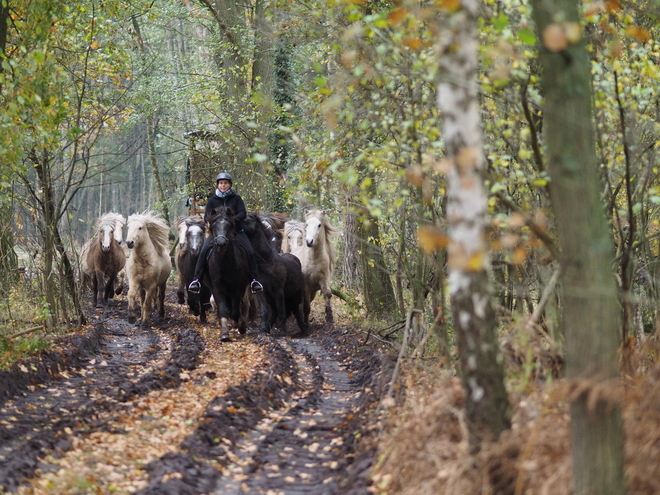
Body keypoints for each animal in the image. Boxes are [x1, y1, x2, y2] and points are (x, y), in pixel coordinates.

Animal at [206, 207, 250, 342]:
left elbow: (235, 310)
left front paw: (240, 326)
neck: (225, 263)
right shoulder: (217, 288)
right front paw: (224, 333)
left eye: (229, 225)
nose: (221, 243)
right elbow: (223, 310)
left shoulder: (239, 287)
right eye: (214, 225)